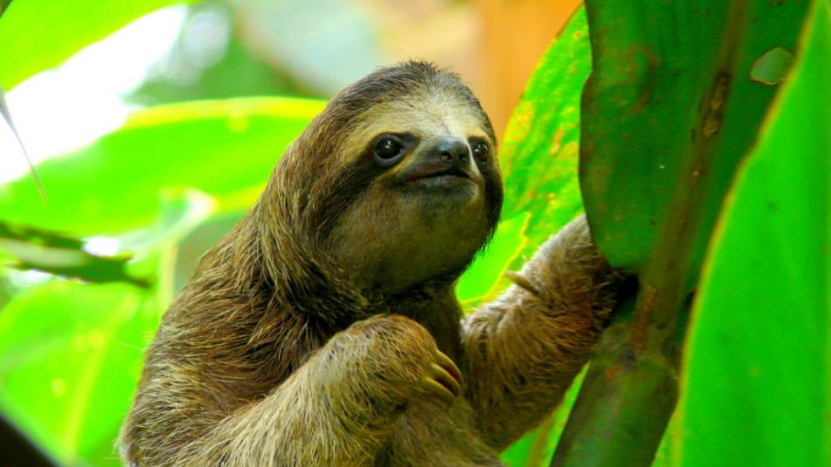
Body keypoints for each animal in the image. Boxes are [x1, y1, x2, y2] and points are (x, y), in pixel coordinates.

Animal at [119, 61, 626, 467]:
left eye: (479, 148)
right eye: (389, 145)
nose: (453, 151)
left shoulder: (440, 315)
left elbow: (487, 391)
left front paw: (589, 252)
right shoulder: (215, 317)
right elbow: (189, 448)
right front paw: (386, 352)